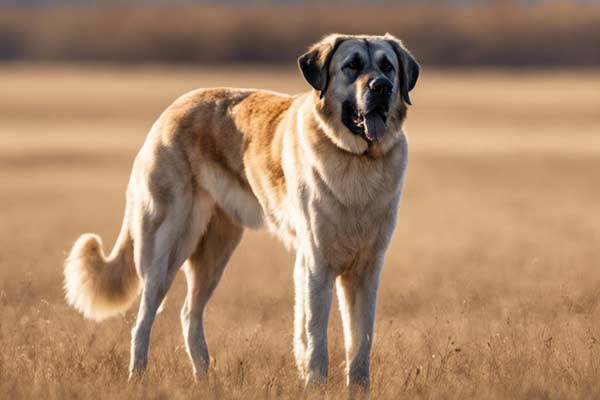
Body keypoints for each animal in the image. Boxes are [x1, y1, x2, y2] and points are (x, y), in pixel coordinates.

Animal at [63, 34, 420, 390]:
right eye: (352, 65)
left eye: (388, 66)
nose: (382, 86)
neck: (358, 162)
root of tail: (173, 108)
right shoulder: (316, 265)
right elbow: (316, 338)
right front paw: (315, 385)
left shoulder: (365, 270)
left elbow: (360, 340)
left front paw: (356, 389)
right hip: (166, 249)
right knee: (143, 321)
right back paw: (137, 378)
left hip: (215, 252)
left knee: (189, 315)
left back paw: (204, 380)